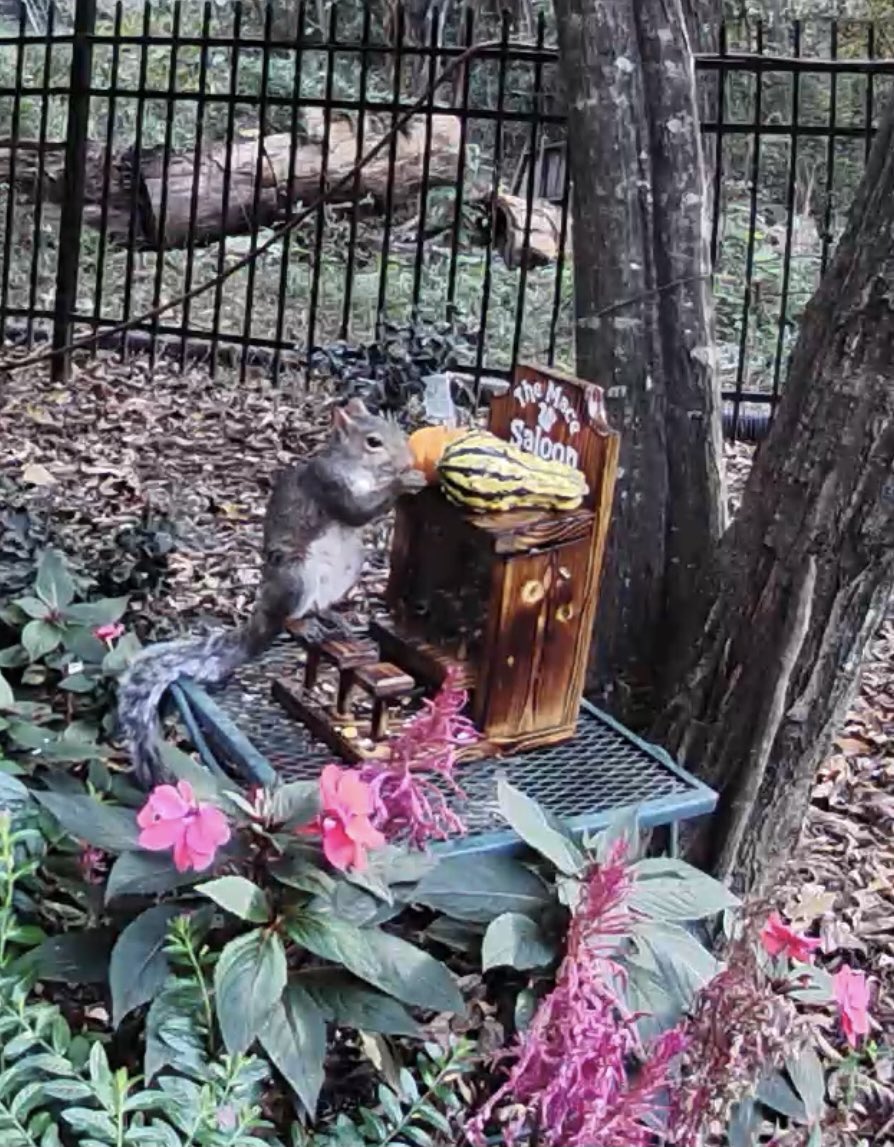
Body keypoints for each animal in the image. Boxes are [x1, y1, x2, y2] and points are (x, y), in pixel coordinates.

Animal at [117, 397, 426, 789]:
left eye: (398, 430)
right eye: (373, 442)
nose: (408, 460)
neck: (358, 468)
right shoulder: (328, 486)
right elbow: (358, 511)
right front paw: (405, 482)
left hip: (349, 566)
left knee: (318, 605)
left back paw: (330, 617)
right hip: (297, 576)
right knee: (292, 617)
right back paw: (306, 624)